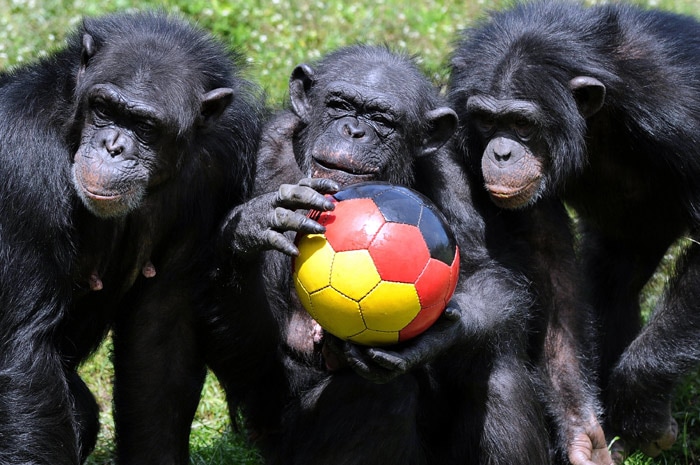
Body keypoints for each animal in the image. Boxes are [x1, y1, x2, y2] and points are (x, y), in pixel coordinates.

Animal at [0, 11, 262, 464]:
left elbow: (159, 339)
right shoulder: (23, 165)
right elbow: (24, 351)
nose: (113, 146)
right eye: (104, 108)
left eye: (145, 125)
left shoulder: (221, 165)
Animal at [216, 44, 556, 464]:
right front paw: (257, 223)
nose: (353, 131)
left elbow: (484, 274)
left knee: (497, 367)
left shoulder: (453, 172)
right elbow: (251, 359)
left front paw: (438, 337)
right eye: (339, 105)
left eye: (382, 120)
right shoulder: (259, 153)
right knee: (379, 393)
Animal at [448, 1, 700, 462]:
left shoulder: (682, 106)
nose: (502, 153)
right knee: (614, 281)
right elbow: (549, 264)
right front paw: (583, 431)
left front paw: (642, 405)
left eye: (522, 124)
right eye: (487, 120)